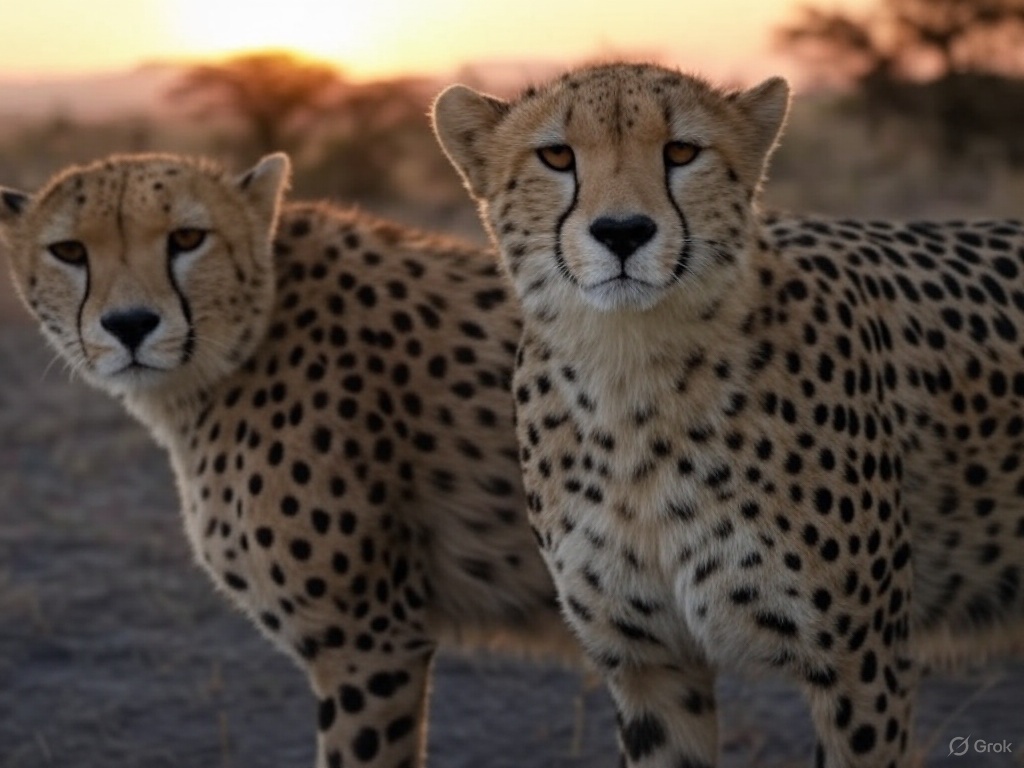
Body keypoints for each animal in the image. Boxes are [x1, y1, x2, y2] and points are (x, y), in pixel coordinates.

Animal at [432, 61, 1024, 768]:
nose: (623, 231)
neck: (631, 382)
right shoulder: (650, 662)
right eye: (556, 156)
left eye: (682, 152)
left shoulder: (863, 661)